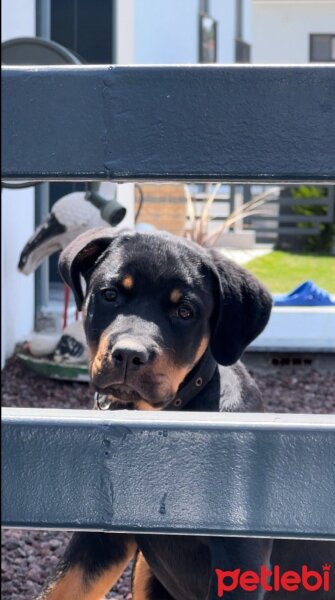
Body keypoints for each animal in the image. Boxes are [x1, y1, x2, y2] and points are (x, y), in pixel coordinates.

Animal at [36, 229, 334, 600]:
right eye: (110, 294)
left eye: (185, 311)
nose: (128, 355)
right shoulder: (102, 532)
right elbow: (60, 588)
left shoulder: (241, 556)